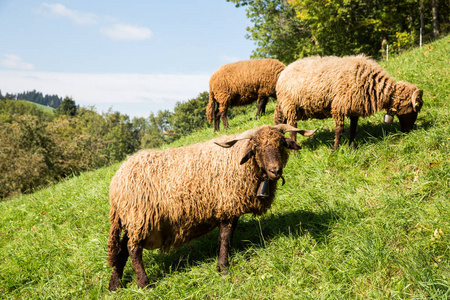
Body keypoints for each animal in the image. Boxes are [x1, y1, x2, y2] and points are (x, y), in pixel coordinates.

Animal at [105, 124, 316, 290]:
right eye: (257, 147)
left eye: (281, 144)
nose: (275, 170)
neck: (239, 160)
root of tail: (115, 183)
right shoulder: (227, 205)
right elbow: (225, 237)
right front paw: (223, 268)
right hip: (139, 217)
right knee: (133, 249)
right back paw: (144, 283)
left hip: (132, 220)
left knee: (122, 249)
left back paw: (114, 285)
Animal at [272, 54, 424, 150]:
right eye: (413, 111)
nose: (408, 131)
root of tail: (284, 72)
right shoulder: (338, 106)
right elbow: (339, 130)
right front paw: (334, 151)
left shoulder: (354, 107)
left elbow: (353, 129)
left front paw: (352, 148)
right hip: (291, 106)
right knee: (292, 130)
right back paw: (295, 153)